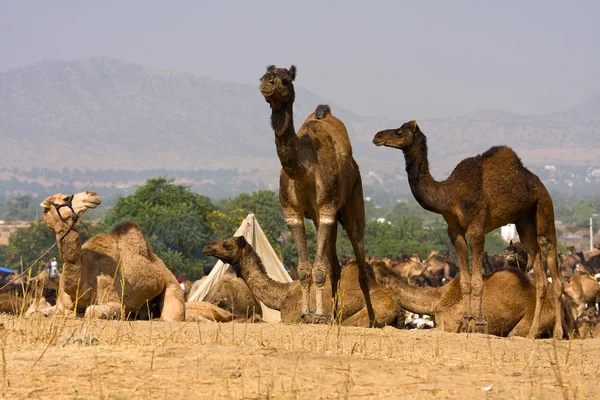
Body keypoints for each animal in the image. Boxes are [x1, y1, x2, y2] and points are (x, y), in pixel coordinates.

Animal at [40, 191, 185, 322]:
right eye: (66, 198)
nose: (92, 194)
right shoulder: (62, 303)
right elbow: (42, 312)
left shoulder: (112, 297)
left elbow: (91, 311)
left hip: (171, 285)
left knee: (172, 315)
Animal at [258, 63, 372, 324]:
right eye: (265, 74)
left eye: (286, 80)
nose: (267, 82)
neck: (305, 169)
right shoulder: (292, 213)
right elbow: (303, 269)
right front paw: (304, 313)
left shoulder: (328, 208)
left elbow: (320, 270)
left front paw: (318, 314)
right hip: (321, 219)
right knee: (336, 266)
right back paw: (336, 316)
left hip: (354, 198)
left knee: (359, 253)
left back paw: (371, 320)